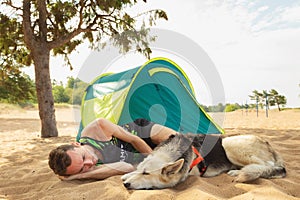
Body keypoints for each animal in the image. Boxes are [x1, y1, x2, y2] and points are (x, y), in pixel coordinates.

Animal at [122, 134, 286, 190]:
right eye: (141, 171)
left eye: (146, 174)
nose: (126, 185)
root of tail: (268, 143)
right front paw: (126, 175)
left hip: (228, 144)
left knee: (267, 166)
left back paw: (237, 172)